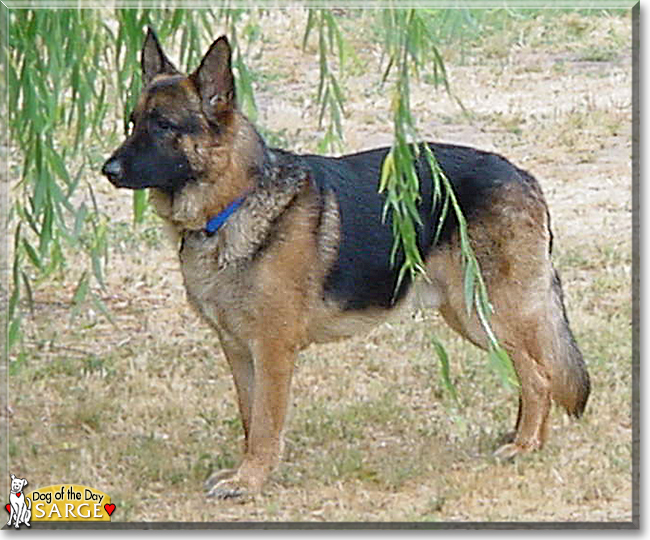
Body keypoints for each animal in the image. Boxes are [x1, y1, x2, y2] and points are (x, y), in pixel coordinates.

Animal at [100, 29, 588, 500]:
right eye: (132, 122)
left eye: (164, 125)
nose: (108, 169)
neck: (233, 203)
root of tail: (522, 174)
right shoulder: (238, 349)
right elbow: (249, 417)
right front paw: (248, 473)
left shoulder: (272, 350)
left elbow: (265, 424)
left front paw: (251, 481)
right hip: (467, 314)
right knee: (533, 373)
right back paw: (528, 439)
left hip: (486, 311)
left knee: (540, 378)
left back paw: (524, 445)